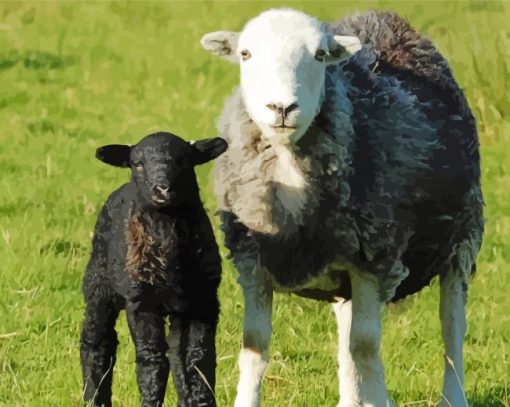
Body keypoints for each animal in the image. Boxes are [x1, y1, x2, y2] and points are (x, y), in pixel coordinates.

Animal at [79, 132, 227, 406]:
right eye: (138, 164)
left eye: (183, 161)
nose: (162, 189)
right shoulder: (141, 302)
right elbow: (152, 362)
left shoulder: (204, 302)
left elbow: (199, 360)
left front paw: (202, 400)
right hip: (98, 283)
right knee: (97, 340)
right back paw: (94, 397)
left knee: (177, 354)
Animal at [201, 7, 484, 407]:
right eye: (245, 54)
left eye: (320, 55)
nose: (282, 108)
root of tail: (382, 16)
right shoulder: (253, 262)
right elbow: (254, 347)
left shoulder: (375, 259)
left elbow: (365, 347)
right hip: (346, 266)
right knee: (347, 333)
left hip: (462, 237)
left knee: (452, 327)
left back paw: (452, 396)